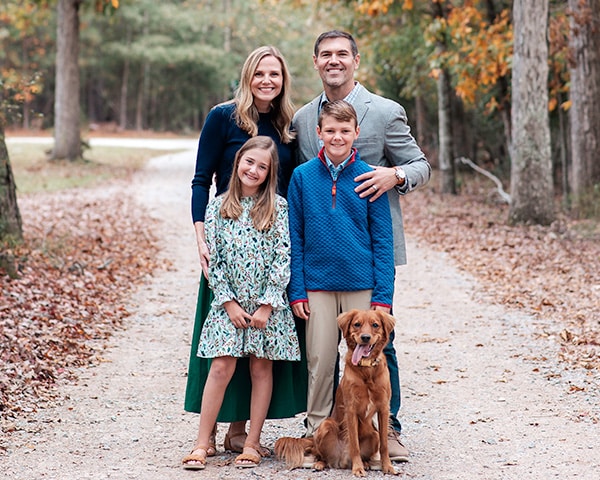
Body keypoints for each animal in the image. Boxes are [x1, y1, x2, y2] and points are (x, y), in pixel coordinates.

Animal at [274, 310, 396, 478]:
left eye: (375, 325)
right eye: (357, 324)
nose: (365, 337)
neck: (366, 369)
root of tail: (341, 461)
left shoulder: (383, 408)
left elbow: (384, 444)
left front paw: (387, 466)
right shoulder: (351, 409)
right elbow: (354, 444)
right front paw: (357, 468)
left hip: (374, 435)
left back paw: (365, 463)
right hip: (326, 425)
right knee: (319, 453)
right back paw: (320, 463)